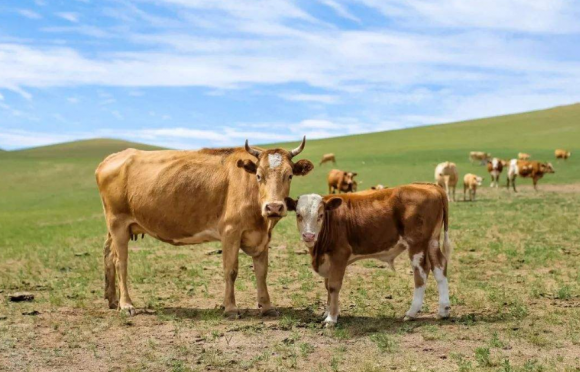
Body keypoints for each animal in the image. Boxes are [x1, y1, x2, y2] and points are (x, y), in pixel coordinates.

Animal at [96, 137, 312, 316]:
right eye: (259, 175)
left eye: (289, 175)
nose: (274, 207)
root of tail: (112, 158)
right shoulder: (230, 231)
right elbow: (231, 270)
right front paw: (230, 308)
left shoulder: (261, 237)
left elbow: (262, 271)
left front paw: (267, 307)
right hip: (118, 223)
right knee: (121, 263)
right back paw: (126, 305)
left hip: (115, 227)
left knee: (108, 255)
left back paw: (112, 300)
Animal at [286, 183, 454, 326]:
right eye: (298, 215)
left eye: (320, 215)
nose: (309, 236)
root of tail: (430, 186)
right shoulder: (328, 260)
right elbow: (327, 286)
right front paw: (328, 313)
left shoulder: (340, 254)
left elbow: (333, 286)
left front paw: (331, 319)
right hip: (432, 241)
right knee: (439, 267)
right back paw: (443, 310)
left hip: (417, 244)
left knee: (421, 273)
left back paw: (411, 313)